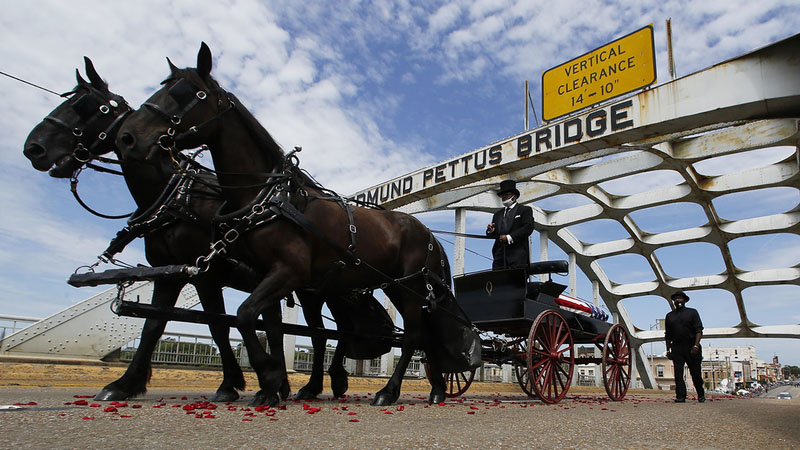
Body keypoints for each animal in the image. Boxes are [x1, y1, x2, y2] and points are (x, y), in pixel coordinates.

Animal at [22, 59, 376, 400]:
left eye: (89, 106)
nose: (33, 148)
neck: (178, 196)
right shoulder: (170, 272)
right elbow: (156, 324)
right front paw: (125, 384)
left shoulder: (206, 275)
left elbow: (220, 327)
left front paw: (236, 383)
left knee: (329, 333)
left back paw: (326, 382)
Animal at [117, 44, 482, 406]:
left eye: (190, 93)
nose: (127, 136)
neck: (269, 196)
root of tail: (430, 235)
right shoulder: (265, 277)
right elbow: (266, 325)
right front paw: (276, 383)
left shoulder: (285, 272)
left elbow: (245, 315)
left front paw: (269, 378)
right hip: (396, 285)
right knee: (422, 335)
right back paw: (436, 388)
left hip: (410, 287)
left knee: (412, 336)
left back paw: (389, 391)